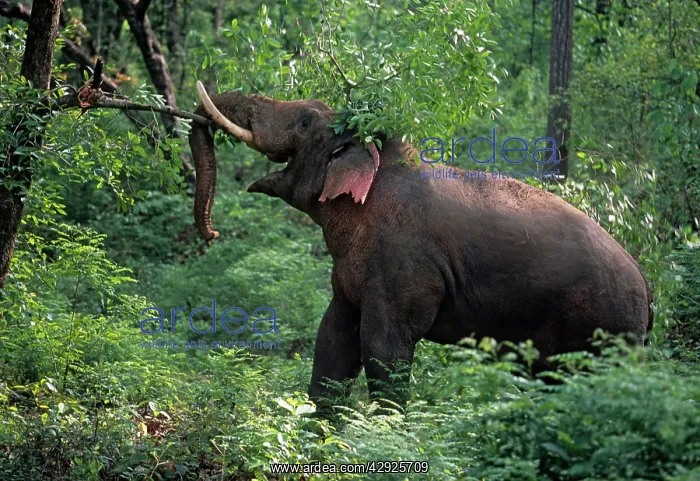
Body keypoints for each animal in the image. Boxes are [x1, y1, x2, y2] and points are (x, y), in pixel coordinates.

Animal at [188, 81, 654, 407]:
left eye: (304, 121)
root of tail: (648, 290)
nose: (211, 234)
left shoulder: (402, 266)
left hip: (605, 328)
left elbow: (384, 351)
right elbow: (332, 344)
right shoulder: (350, 277)